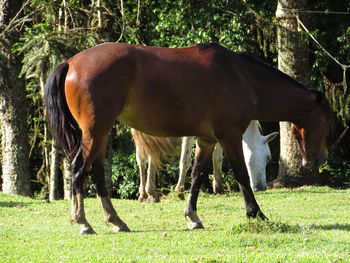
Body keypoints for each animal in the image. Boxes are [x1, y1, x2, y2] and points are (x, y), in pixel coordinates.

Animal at [133, 120, 278, 203]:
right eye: (268, 157)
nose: (262, 187)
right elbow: (185, 161)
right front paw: (179, 192)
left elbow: (217, 159)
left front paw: (218, 187)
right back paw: (151, 192)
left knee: (141, 159)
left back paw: (144, 194)